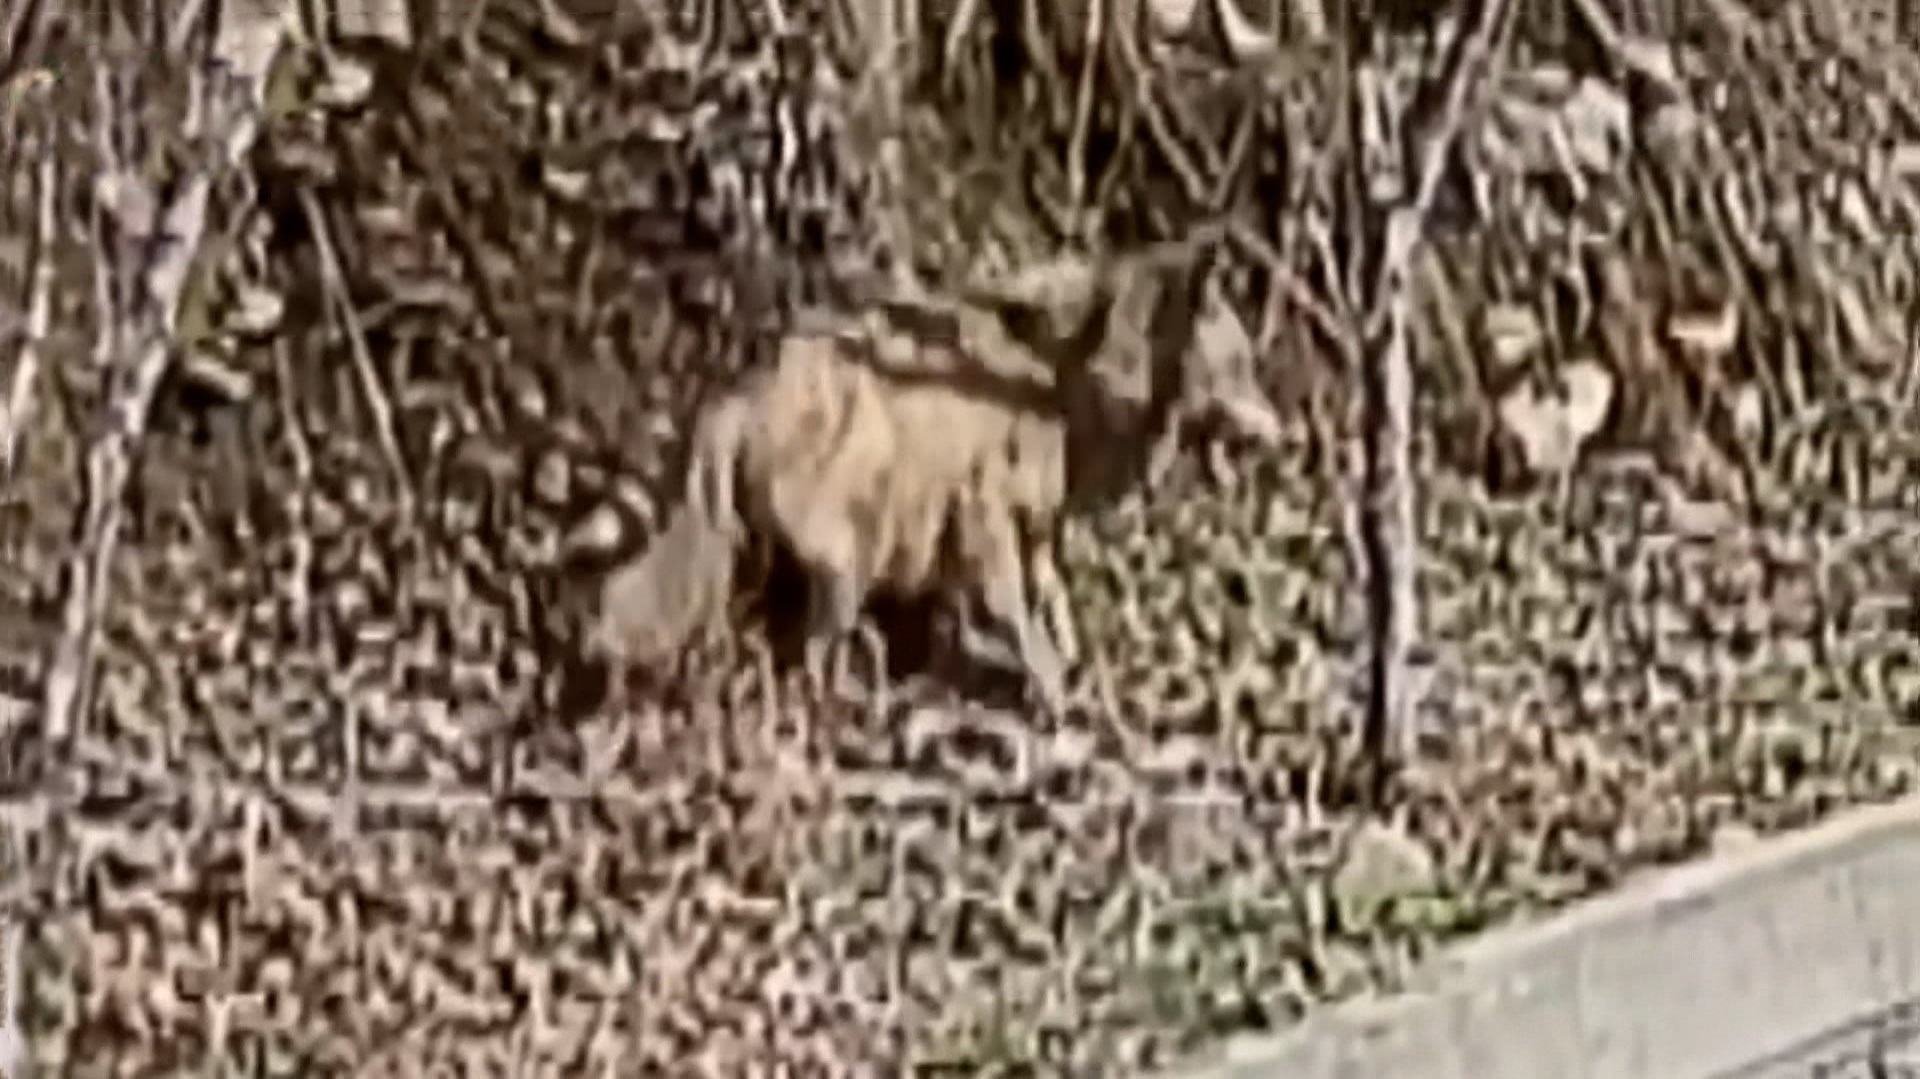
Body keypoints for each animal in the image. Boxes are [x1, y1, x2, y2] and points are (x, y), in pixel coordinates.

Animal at [587, 232, 1282, 709]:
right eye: (1240, 365)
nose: (1283, 435)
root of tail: (735, 397)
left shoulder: (1033, 518)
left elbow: (1049, 590)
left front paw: (1068, 663)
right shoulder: (982, 504)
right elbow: (1011, 602)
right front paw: (1049, 683)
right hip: (852, 549)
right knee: (812, 648)